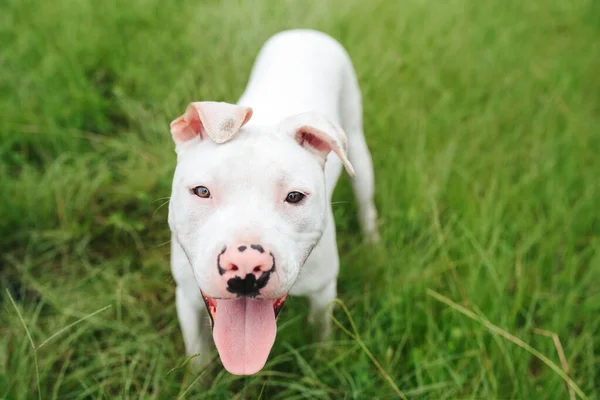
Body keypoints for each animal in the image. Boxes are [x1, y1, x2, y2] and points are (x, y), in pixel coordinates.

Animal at [166, 28, 378, 376]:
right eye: (202, 191)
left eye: (294, 197)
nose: (247, 264)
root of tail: (305, 32)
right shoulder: (186, 297)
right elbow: (197, 356)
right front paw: (198, 381)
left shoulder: (324, 292)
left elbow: (321, 332)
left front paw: (322, 362)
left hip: (357, 145)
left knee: (365, 199)